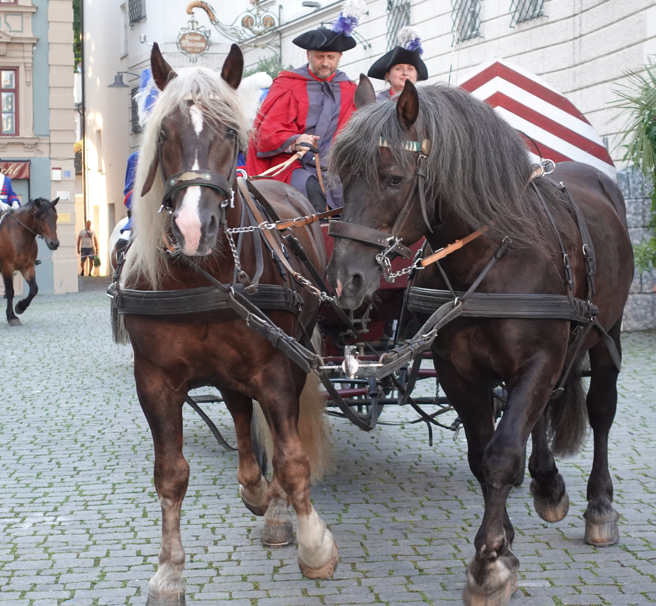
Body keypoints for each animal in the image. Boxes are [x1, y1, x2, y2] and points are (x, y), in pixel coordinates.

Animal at [0, 197, 59, 326]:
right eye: (42, 218)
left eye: (56, 217)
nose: (54, 243)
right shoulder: (7, 267)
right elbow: (10, 291)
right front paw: (12, 316)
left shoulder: (27, 267)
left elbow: (33, 289)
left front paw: (20, 307)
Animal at [113, 44, 336, 606]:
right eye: (164, 133)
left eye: (232, 133)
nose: (194, 228)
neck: (204, 276)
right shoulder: (154, 380)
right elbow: (171, 474)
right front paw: (169, 573)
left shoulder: (277, 368)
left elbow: (291, 458)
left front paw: (314, 544)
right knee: (238, 413)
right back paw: (255, 490)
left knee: (272, 433)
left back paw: (276, 511)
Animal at [328, 78, 636, 604]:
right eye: (344, 177)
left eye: (394, 178)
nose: (346, 280)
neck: (493, 259)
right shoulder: (459, 372)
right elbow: (482, 454)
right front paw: (505, 541)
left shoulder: (539, 359)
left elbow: (501, 456)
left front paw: (490, 561)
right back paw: (547, 483)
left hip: (604, 334)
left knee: (600, 410)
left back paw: (599, 506)